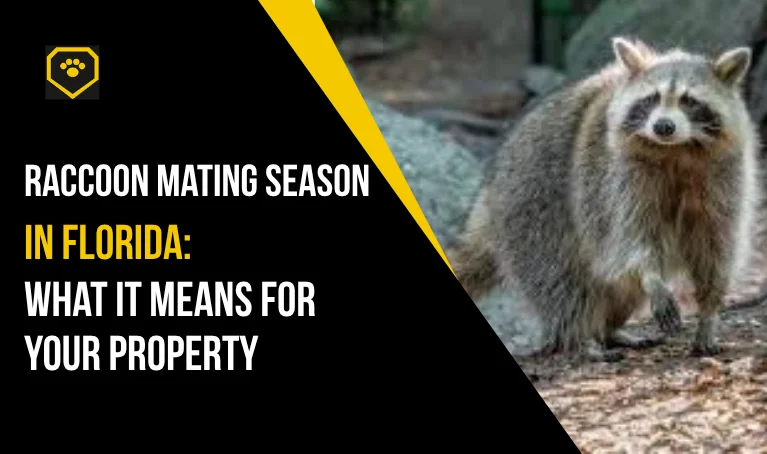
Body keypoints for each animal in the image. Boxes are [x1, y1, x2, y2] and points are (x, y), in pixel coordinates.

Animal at [449, 37, 763, 361]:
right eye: (652, 98)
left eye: (689, 100)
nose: (663, 126)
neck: (677, 150)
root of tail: (490, 190)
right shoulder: (615, 179)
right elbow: (631, 236)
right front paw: (652, 276)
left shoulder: (724, 178)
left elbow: (716, 245)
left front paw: (710, 310)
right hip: (533, 206)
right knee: (562, 280)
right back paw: (578, 337)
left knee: (620, 291)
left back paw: (610, 330)